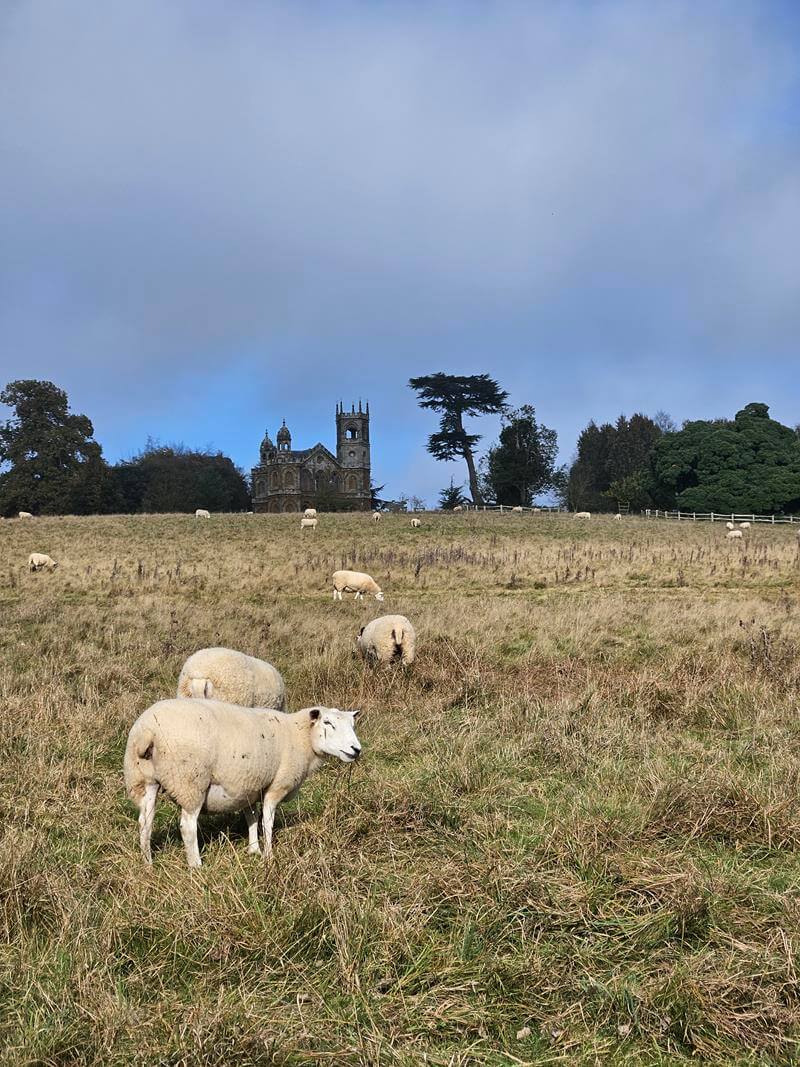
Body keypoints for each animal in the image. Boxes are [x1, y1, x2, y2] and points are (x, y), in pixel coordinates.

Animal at [123, 699, 362, 866]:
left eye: (352, 724)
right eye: (327, 723)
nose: (356, 750)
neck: (299, 735)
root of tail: (147, 731)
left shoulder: (251, 787)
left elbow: (252, 817)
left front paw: (254, 849)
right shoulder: (276, 786)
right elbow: (267, 821)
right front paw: (268, 856)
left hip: (143, 780)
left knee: (145, 823)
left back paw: (148, 863)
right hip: (190, 782)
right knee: (187, 827)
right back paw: (196, 866)